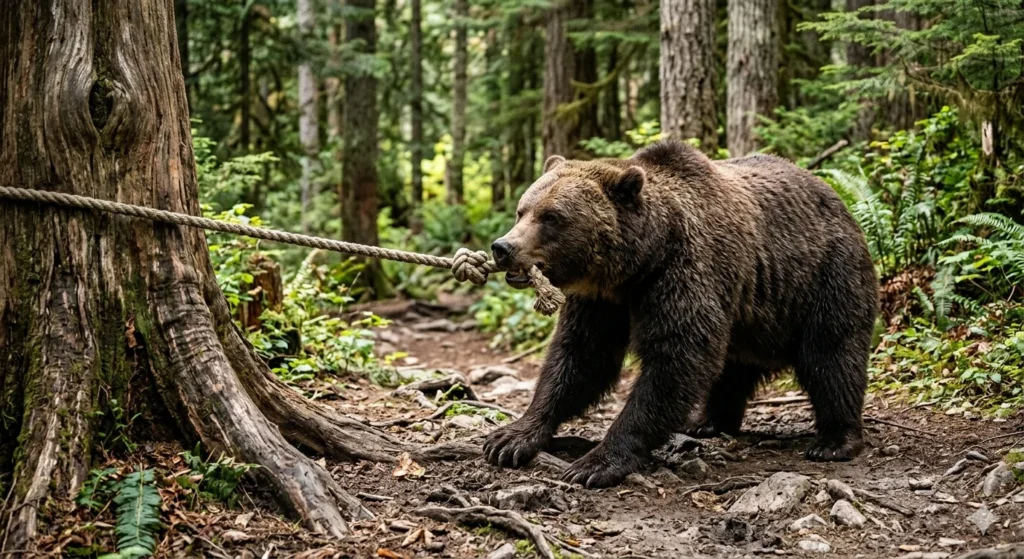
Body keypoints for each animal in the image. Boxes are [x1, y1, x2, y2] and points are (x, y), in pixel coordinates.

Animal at [484, 139, 879, 488]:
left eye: (552, 216)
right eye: (523, 210)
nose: (503, 247)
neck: (636, 268)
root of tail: (837, 199)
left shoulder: (685, 273)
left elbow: (674, 361)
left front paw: (595, 463)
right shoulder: (601, 303)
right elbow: (579, 358)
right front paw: (510, 438)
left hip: (825, 276)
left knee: (831, 355)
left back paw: (834, 441)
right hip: (748, 316)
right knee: (732, 368)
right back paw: (707, 422)